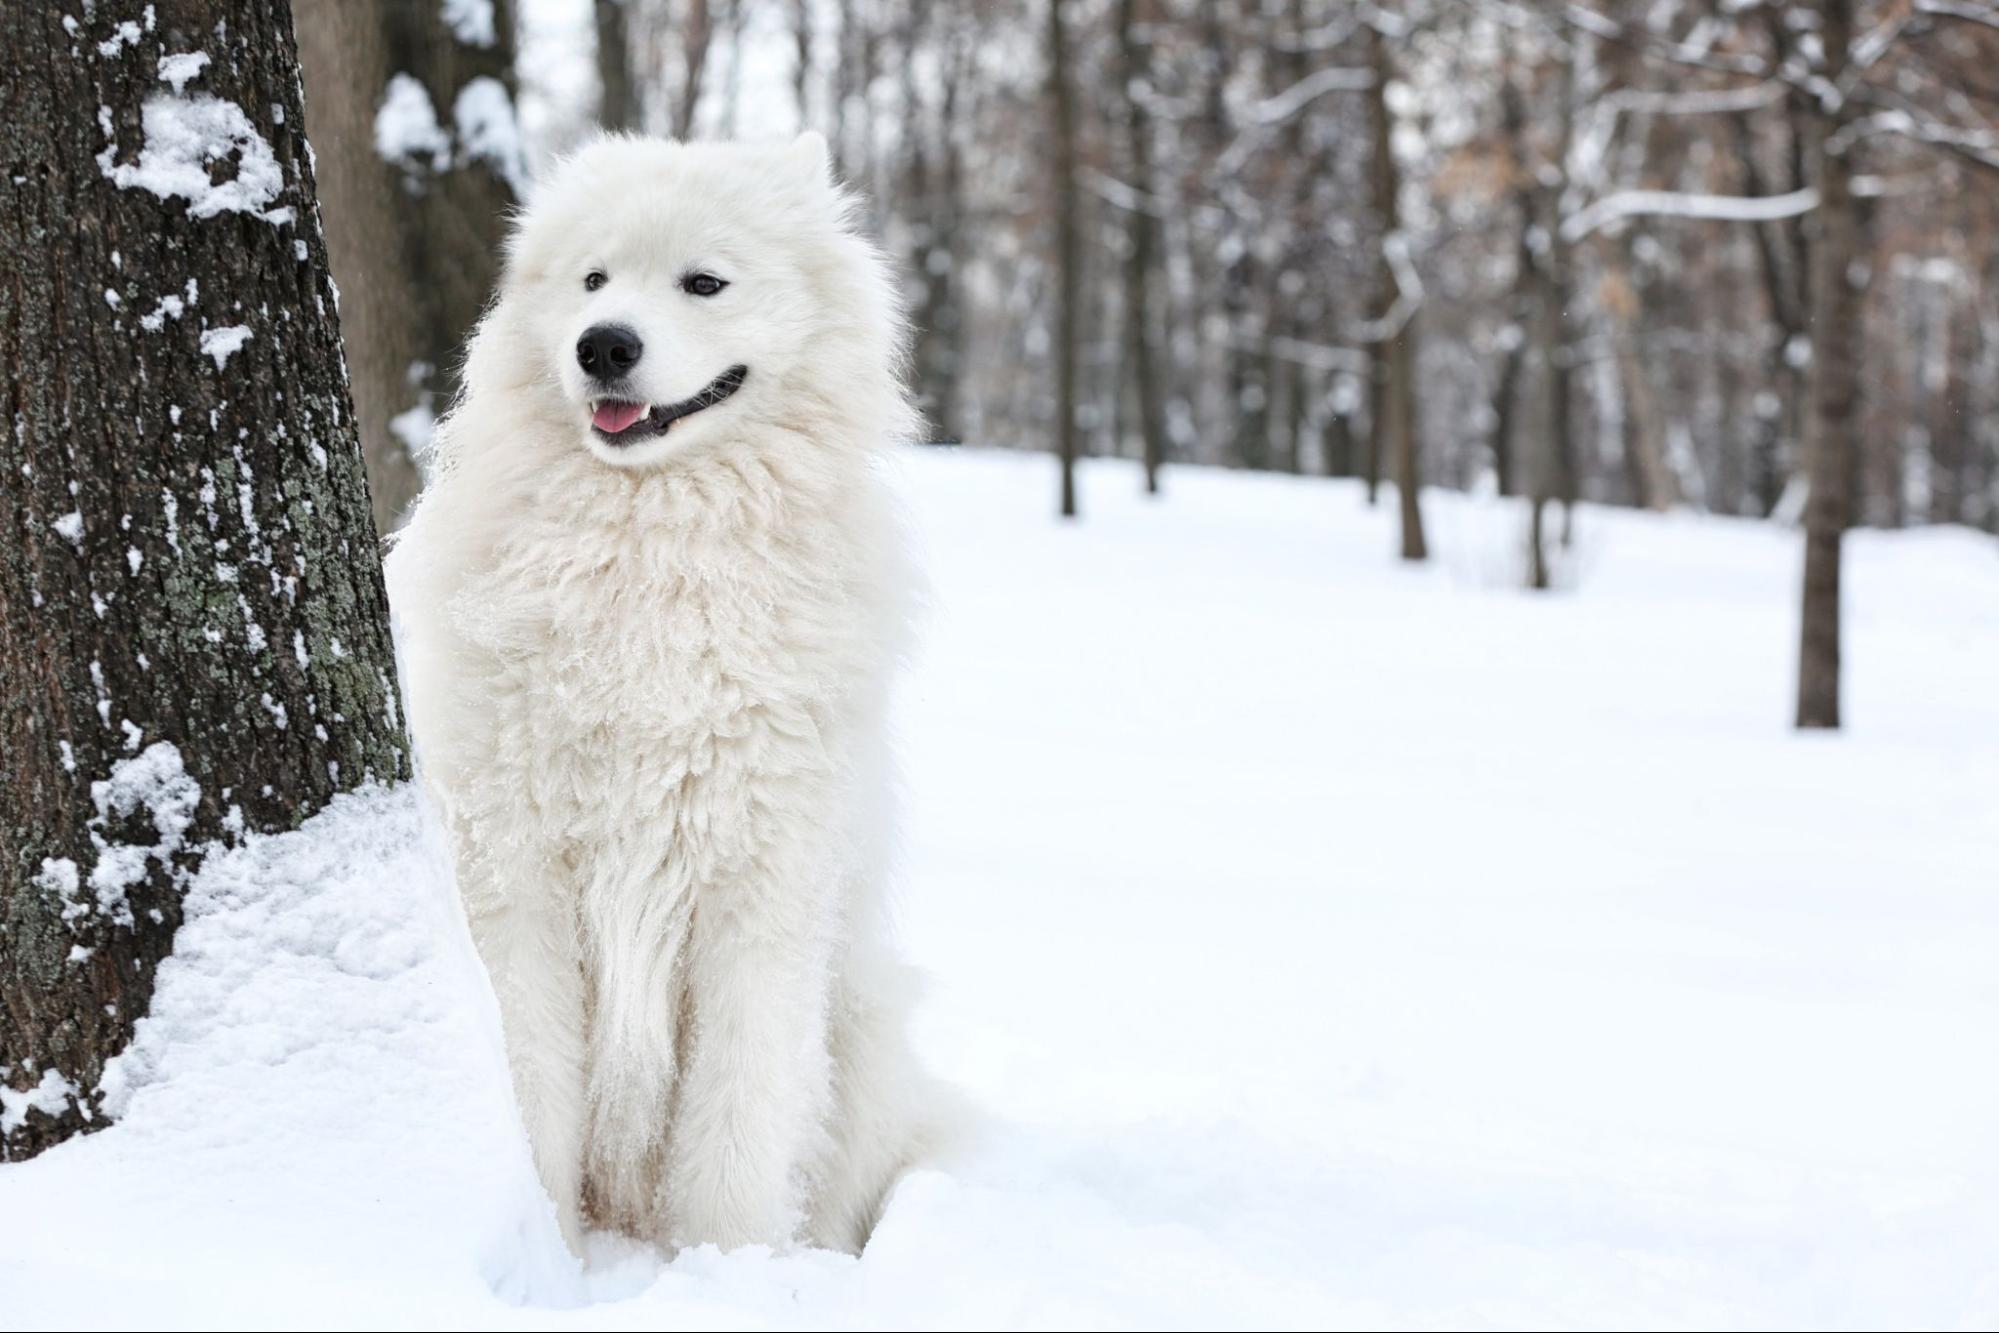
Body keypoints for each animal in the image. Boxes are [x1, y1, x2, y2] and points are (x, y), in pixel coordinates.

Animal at [387, 135, 935, 1263]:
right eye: (594, 280)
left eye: (703, 283)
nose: (603, 346)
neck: (650, 546)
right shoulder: (517, 874)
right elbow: (535, 1094)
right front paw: (544, 1256)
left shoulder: (758, 895)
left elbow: (735, 1129)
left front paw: (724, 1270)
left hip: (864, 1025)